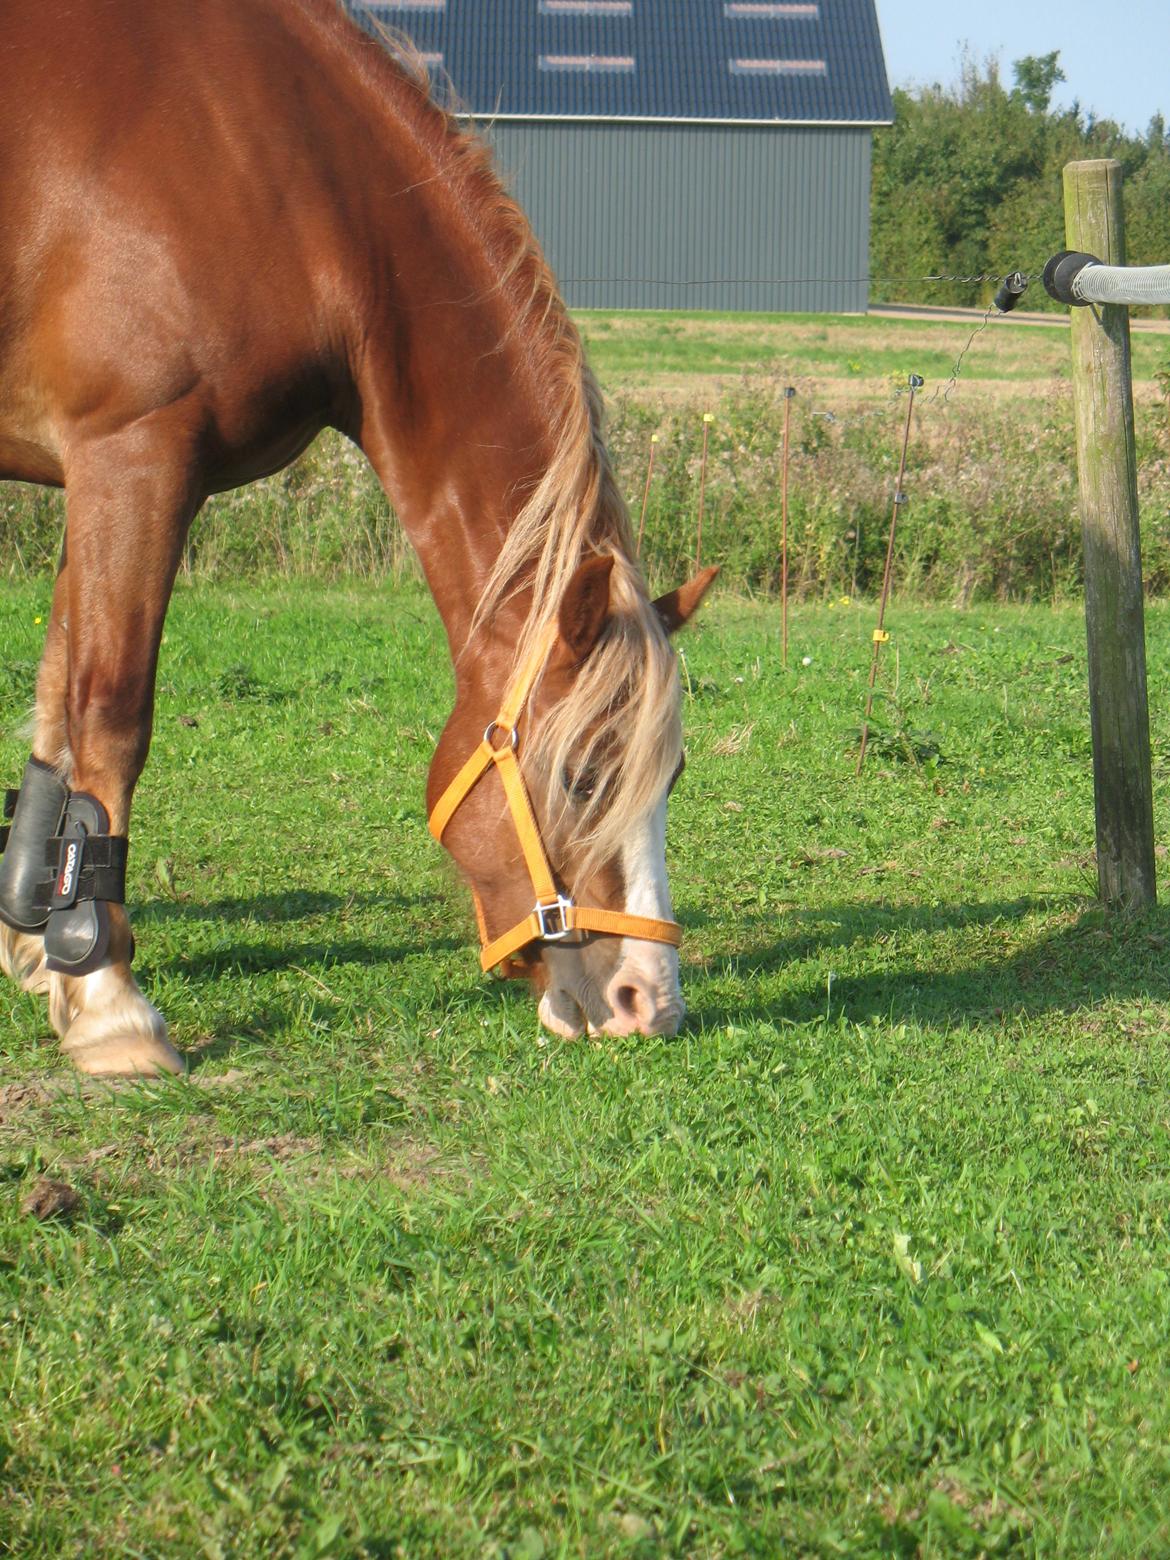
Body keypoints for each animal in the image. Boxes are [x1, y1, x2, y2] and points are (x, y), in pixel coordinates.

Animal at [0, 0, 714, 1073]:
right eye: (585, 774)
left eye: (670, 776)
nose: (649, 1003)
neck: (279, 166)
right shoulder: (133, 457)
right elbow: (110, 717)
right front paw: (109, 1000)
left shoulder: (98, 471)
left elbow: (55, 716)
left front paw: (42, 952)